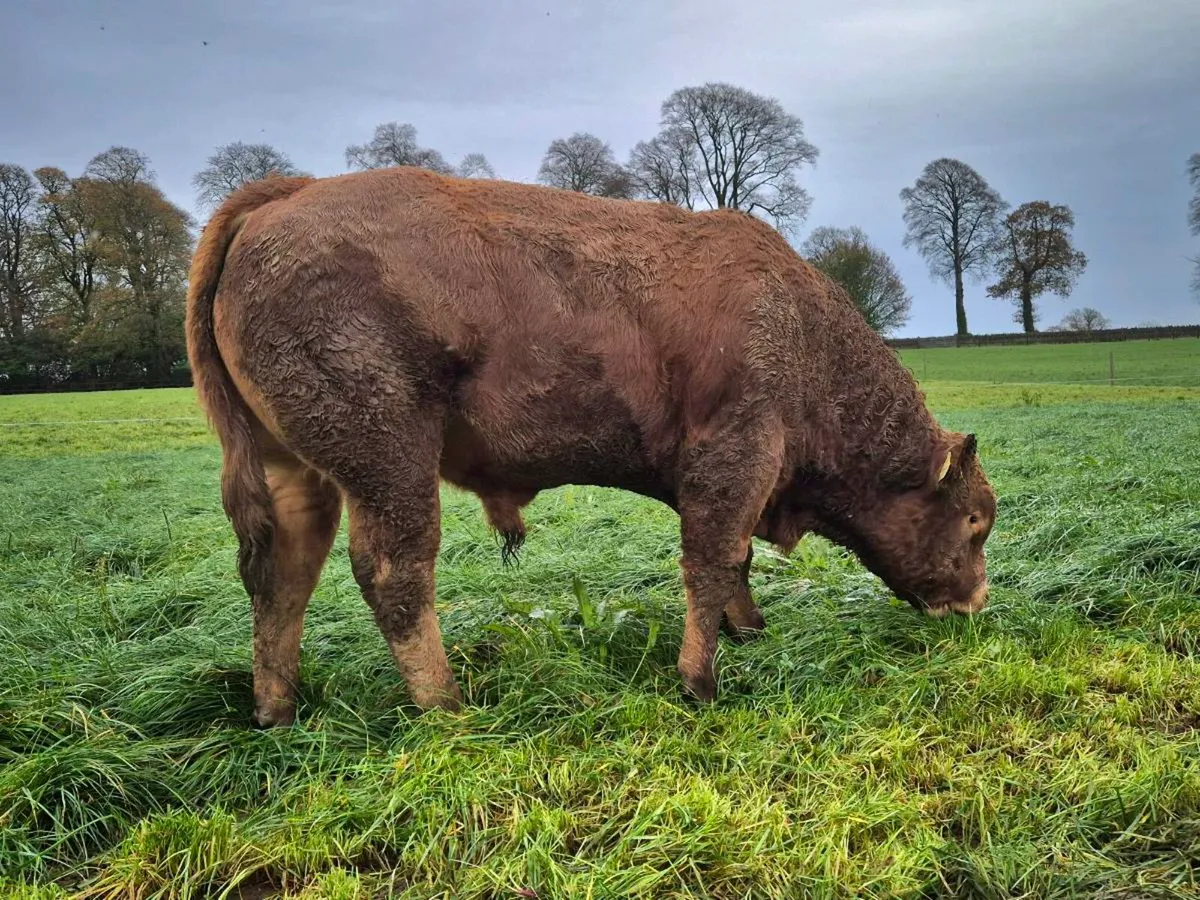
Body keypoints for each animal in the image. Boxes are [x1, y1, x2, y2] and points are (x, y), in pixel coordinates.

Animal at [185, 166, 996, 728]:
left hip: (296, 473)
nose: (977, 602)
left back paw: (277, 711)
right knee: (394, 574)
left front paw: (749, 631)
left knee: (282, 577)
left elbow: (732, 562)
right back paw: (448, 707)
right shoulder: (734, 457)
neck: (799, 331)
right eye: (975, 521)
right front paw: (700, 682)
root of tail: (283, 198)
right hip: (391, 462)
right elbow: (712, 563)